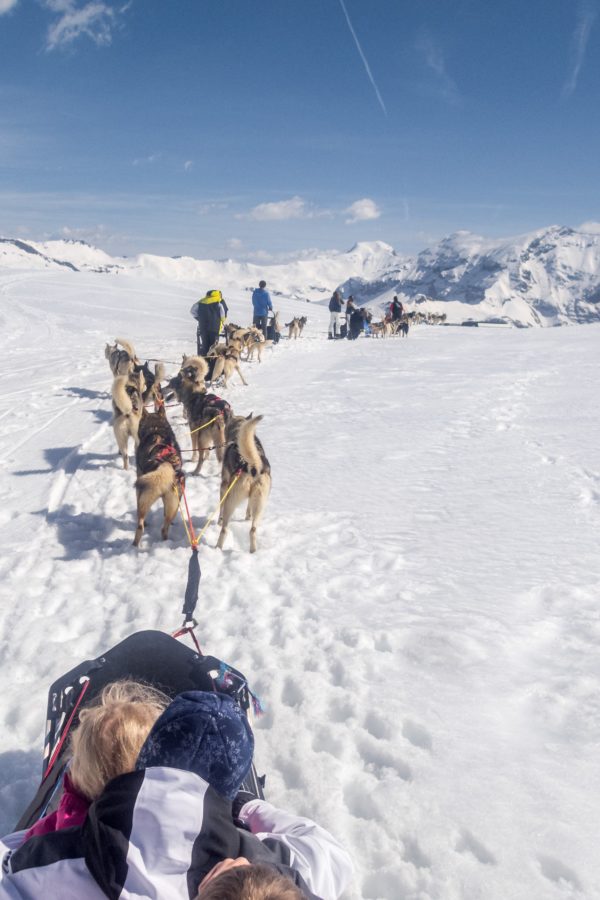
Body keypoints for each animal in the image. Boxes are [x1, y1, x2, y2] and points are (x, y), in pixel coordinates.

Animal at [133, 404, 183, 544]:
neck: (156, 428)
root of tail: (166, 465)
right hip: (174, 503)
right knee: (164, 528)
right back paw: (165, 542)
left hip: (144, 498)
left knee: (140, 526)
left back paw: (134, 545)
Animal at [217, 416, 270, 556]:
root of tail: (253, 467)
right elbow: (248, 507)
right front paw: (247, 516)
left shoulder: (224, 486)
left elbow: (220, 508)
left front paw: (218, 520)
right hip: (260, 504)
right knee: (253, 530)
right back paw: (253, 550)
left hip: (230, 501)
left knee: (224, 529)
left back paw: (217, 547)